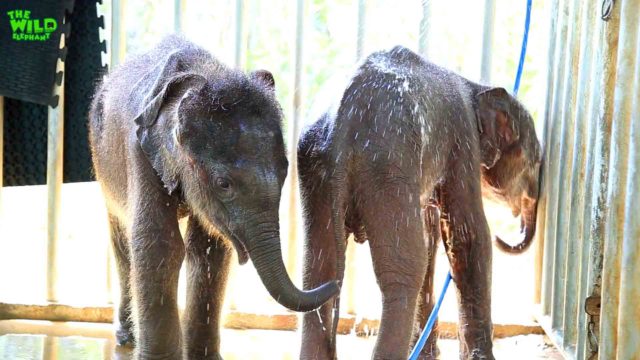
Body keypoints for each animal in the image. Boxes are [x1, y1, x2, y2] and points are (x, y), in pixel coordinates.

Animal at [90, 35, 340, 360]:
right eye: (223, 184)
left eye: (286, 170)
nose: (336, 283)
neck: (205, 75)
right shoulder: (140, 152)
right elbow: (158, 244)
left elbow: (210, 250)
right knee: (122, 239)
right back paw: (125, 338)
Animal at [298, 46, 540, 358]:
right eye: (535, 162)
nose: (507, 233)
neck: (476, 87)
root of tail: (342, 120)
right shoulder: (462, 142)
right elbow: (469, 237)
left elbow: (432, 236)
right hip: (388, 168)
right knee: (403, 272)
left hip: (316, 166)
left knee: (318, 270)